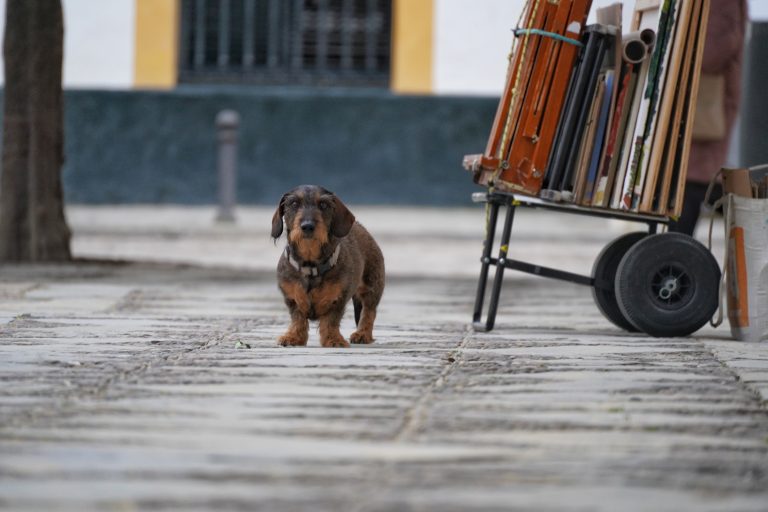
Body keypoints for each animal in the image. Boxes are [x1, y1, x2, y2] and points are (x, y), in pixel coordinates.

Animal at [272, 185, 388, 348]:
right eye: (294, 203)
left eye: (323, 205)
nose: (307, 226)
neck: (311, 265)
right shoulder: (292, 298)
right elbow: (297, 319)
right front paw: (293, 337)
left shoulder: (337, 299)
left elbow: (331, 320)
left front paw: (334, 339)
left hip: (372, 287)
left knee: (369, 312)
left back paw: (362, 334)